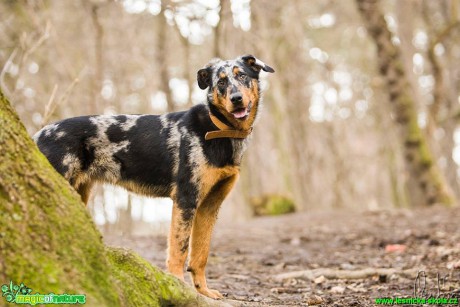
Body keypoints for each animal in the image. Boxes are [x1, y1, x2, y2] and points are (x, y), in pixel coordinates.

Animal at [35, 54, 276, 300]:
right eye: (221, 81)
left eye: (242, 75)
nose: (236, 99)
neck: (220, 130)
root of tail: (39, 134)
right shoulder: (185, 199)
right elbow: (179, 250)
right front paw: (179, 285)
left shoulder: (209, 205)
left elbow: (201, 254)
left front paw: (204, 291)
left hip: (78, 192)